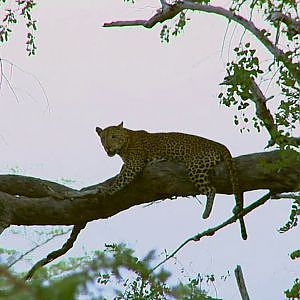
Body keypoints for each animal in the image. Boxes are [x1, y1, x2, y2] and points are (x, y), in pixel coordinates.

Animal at [96, 120, 248, 240]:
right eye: (103, 139)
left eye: (113, 136)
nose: (107, 147)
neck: (125, 143)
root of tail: (220, 145)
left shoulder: (134, 164)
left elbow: (120, 179)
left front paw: (108, 190)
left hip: (195, 167)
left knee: (211, 189)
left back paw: (206, 213)